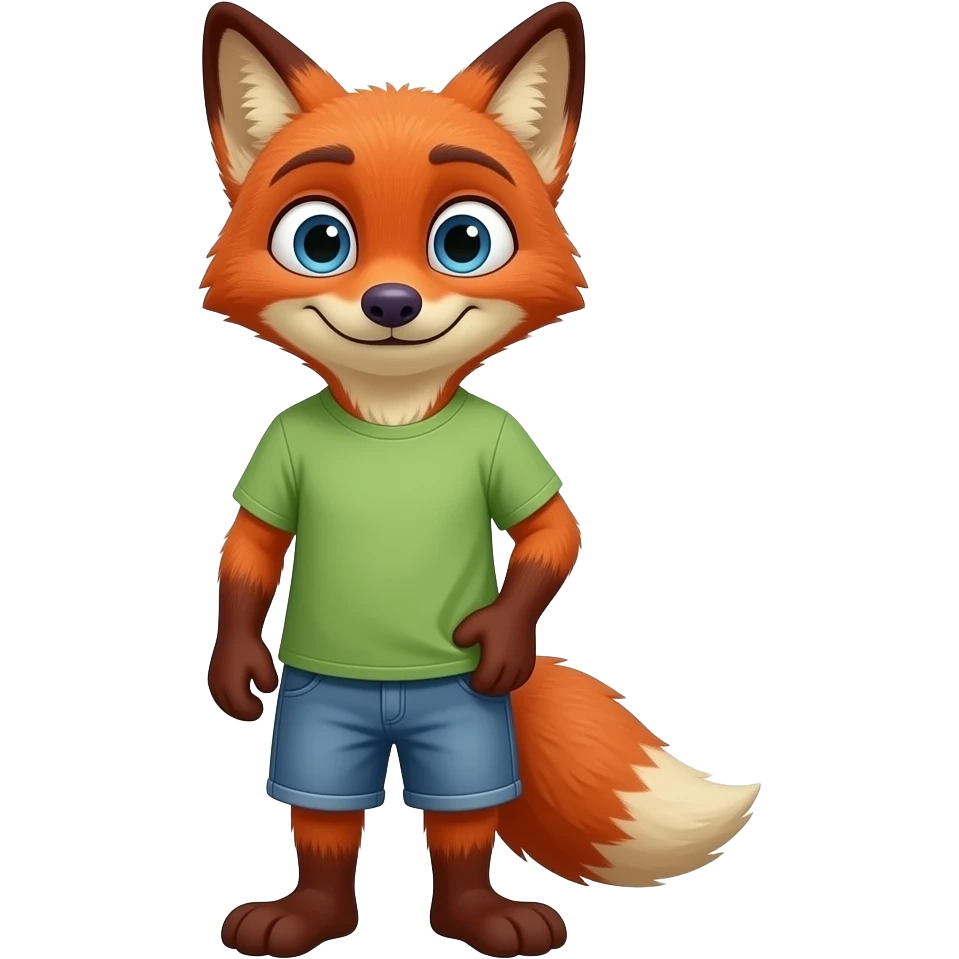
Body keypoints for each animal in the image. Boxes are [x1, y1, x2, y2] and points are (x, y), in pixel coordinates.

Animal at [201, 2, 761, 957]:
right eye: (320, 240)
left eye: (464, 240)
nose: (392, 305)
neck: (394, 416)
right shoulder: (275, 457)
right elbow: (252, 546)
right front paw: (235, 666)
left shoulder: (512, 451)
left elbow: (550, 532)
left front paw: (500, 636)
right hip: (323, 726)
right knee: (325, 816)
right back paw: (311, 915)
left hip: (462, 731)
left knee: (462, 818)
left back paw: (480, 915)